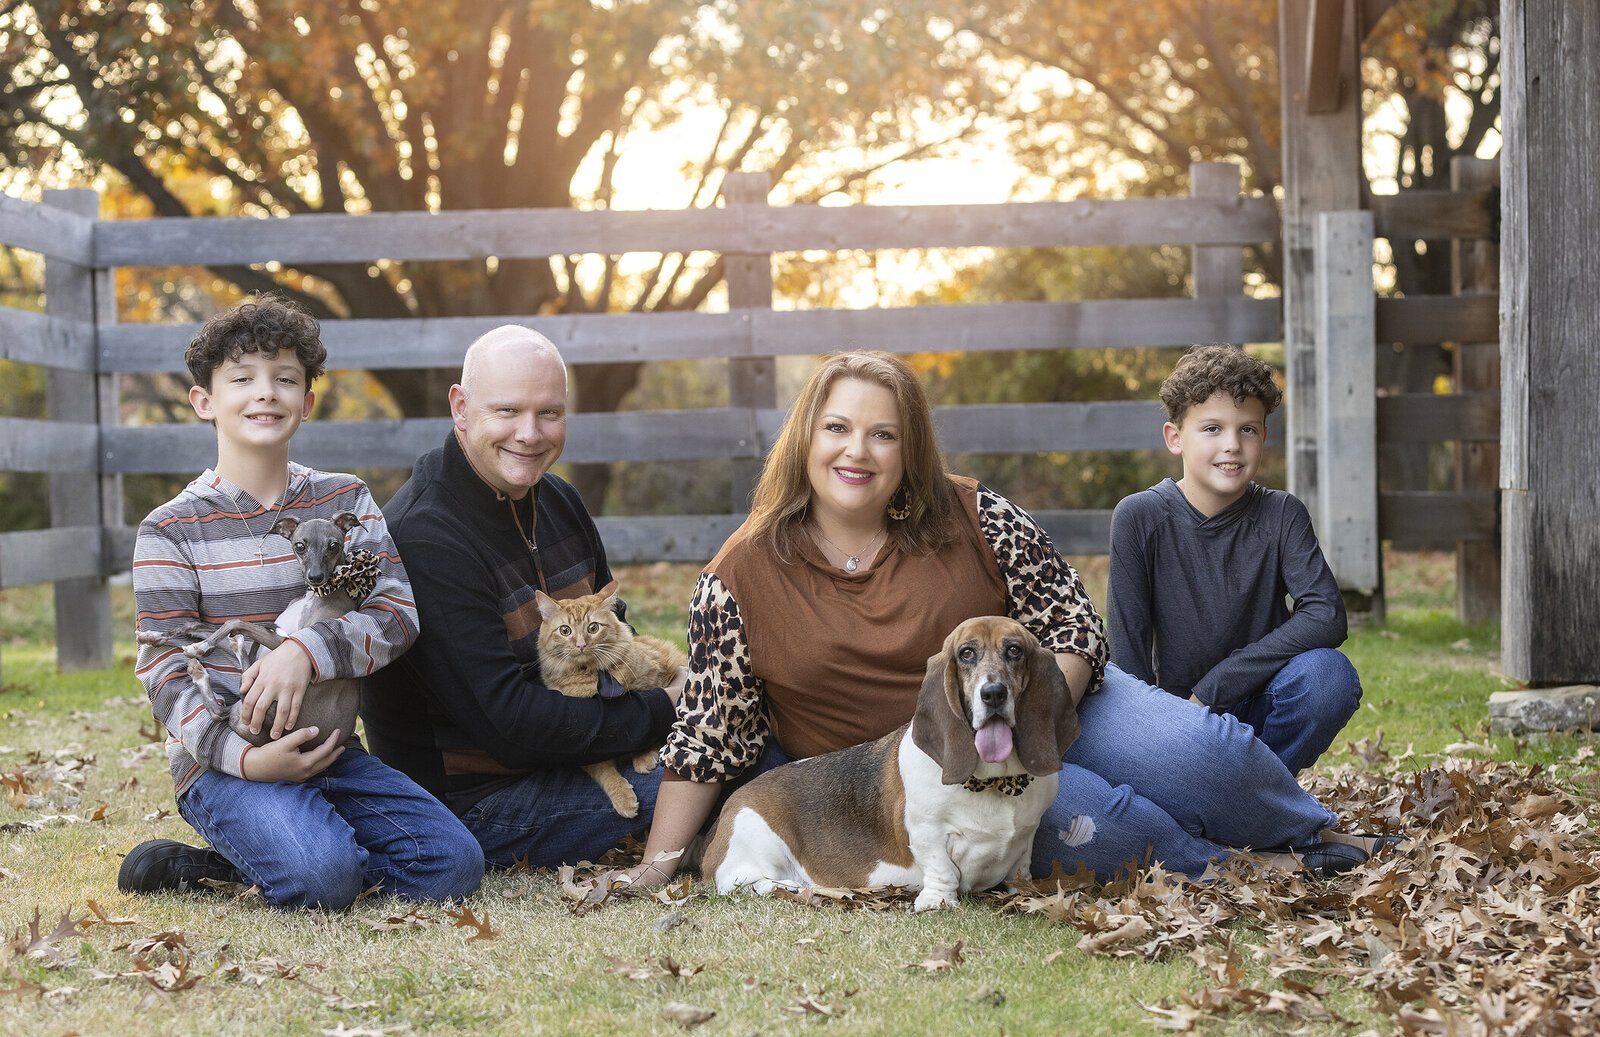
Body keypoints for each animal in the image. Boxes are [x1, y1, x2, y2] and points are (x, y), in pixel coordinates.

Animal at [138, 515, 374, 748]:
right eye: (299, 546)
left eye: (334, 545)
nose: (316, 577)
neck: (316, 595)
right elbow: (195, 626)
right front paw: (152, 636)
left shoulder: (285, 644)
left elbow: (234, 622)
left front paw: (201, 647)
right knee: (222, 709)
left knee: (226, 705)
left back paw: (213, 663)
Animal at [537, 579, 688, 812]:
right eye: (565, 630)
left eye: (593, 628)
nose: (580, 644)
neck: (590, 677)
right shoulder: (584, 741)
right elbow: (603, 771)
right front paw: (622, 796)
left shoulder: (654, 685)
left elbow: (651, 730)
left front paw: (643, 757)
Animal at [697, 620, 1075, 908]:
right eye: (966, 653)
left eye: (1015, 650)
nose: (993, 693)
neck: (994, 783)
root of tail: (725, 812)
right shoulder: (927, 834)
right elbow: (942, 870)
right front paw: (937, 902)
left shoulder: (1025, 838)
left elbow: (1020, 870)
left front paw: (1026, 895)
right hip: (755, 844)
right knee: (749, 884)